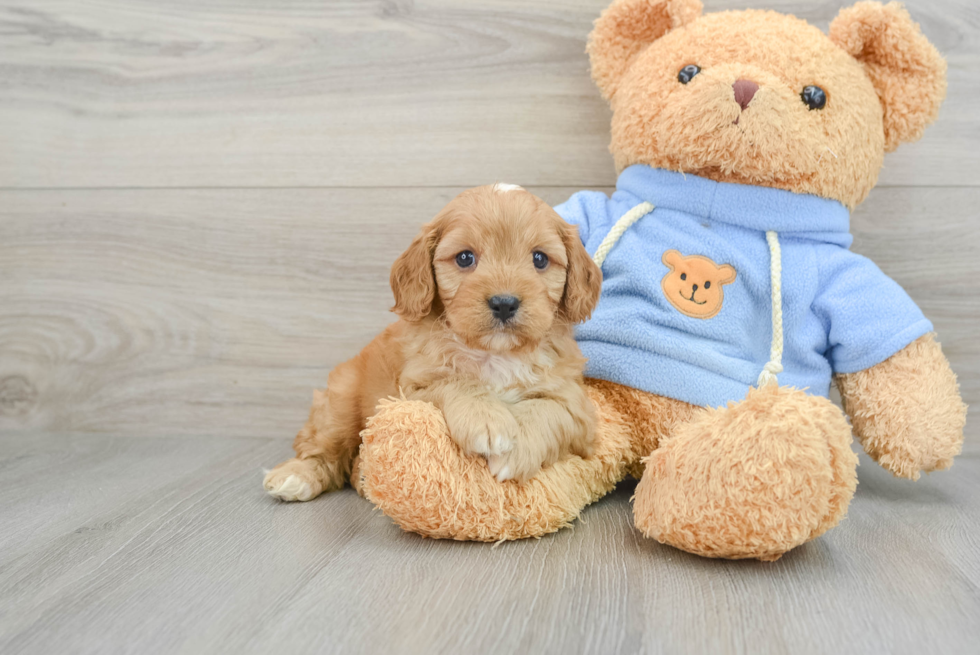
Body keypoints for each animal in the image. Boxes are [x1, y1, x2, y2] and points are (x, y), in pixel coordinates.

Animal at [266, 184, 604, 502]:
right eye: (465, 258)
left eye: (539, 259)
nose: (504, 303)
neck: (494, 354)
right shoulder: (412, 390)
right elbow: (455, 383)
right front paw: (486, 419)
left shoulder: (576, 406)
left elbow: (548, 410)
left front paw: (515, 447)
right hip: (340, 403)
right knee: (322, 448)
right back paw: (296, 476)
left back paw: (362, 474)